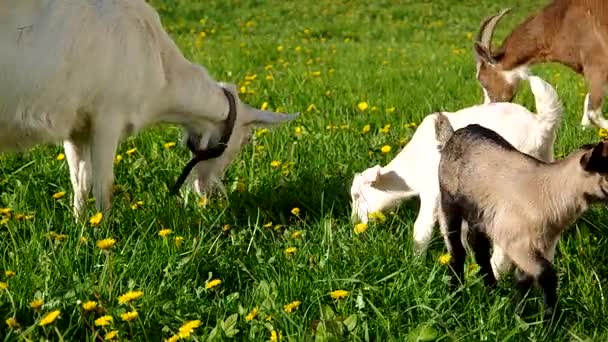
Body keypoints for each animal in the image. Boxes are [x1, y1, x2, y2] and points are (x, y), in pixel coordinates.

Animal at [0, 0, 300, 218]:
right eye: (246, 140)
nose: (210, 194)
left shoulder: (76, 126)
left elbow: (80, 182)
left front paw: (81, 228)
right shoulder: (108, 116)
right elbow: (104, 185)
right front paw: (103, 235)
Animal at [350, 76, 564, 280]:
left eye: (357, 195)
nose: (354, 224)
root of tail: (541, 125)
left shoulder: (433, 191)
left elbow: (422, 228)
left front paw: (415, 263)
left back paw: (494, 274)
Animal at [434, 114, 608, 320]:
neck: (550, 192)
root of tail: (454, 134)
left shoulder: (543, 244)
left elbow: (523, 280)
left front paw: (519, 317)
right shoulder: (517, 244)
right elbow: (546, 273)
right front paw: (550, 320)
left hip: (479, 215)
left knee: (480, 250)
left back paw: (492, 290)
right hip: (449, 203)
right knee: (457, 250)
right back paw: (455, 293)